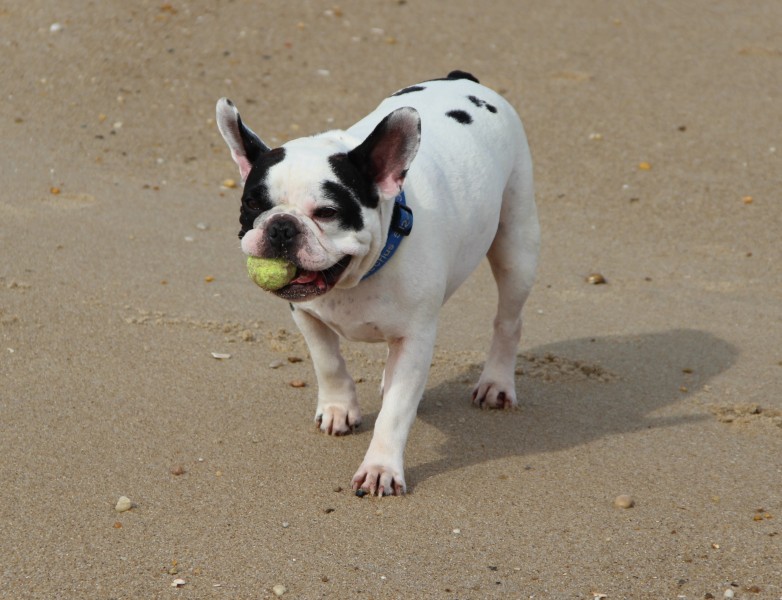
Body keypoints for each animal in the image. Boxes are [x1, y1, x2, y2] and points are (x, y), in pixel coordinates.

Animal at [217, 70, 544, 496]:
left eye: (327, 212)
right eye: (253, 205)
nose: (281, 226)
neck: (355, 278)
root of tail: (462, 79)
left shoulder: (415, 340)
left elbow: (396, 413)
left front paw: (380, 468)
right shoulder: (306, 313)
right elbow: (327, 361)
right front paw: (339, 408)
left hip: (516, 243)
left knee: (508, 319)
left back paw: (497, 382)